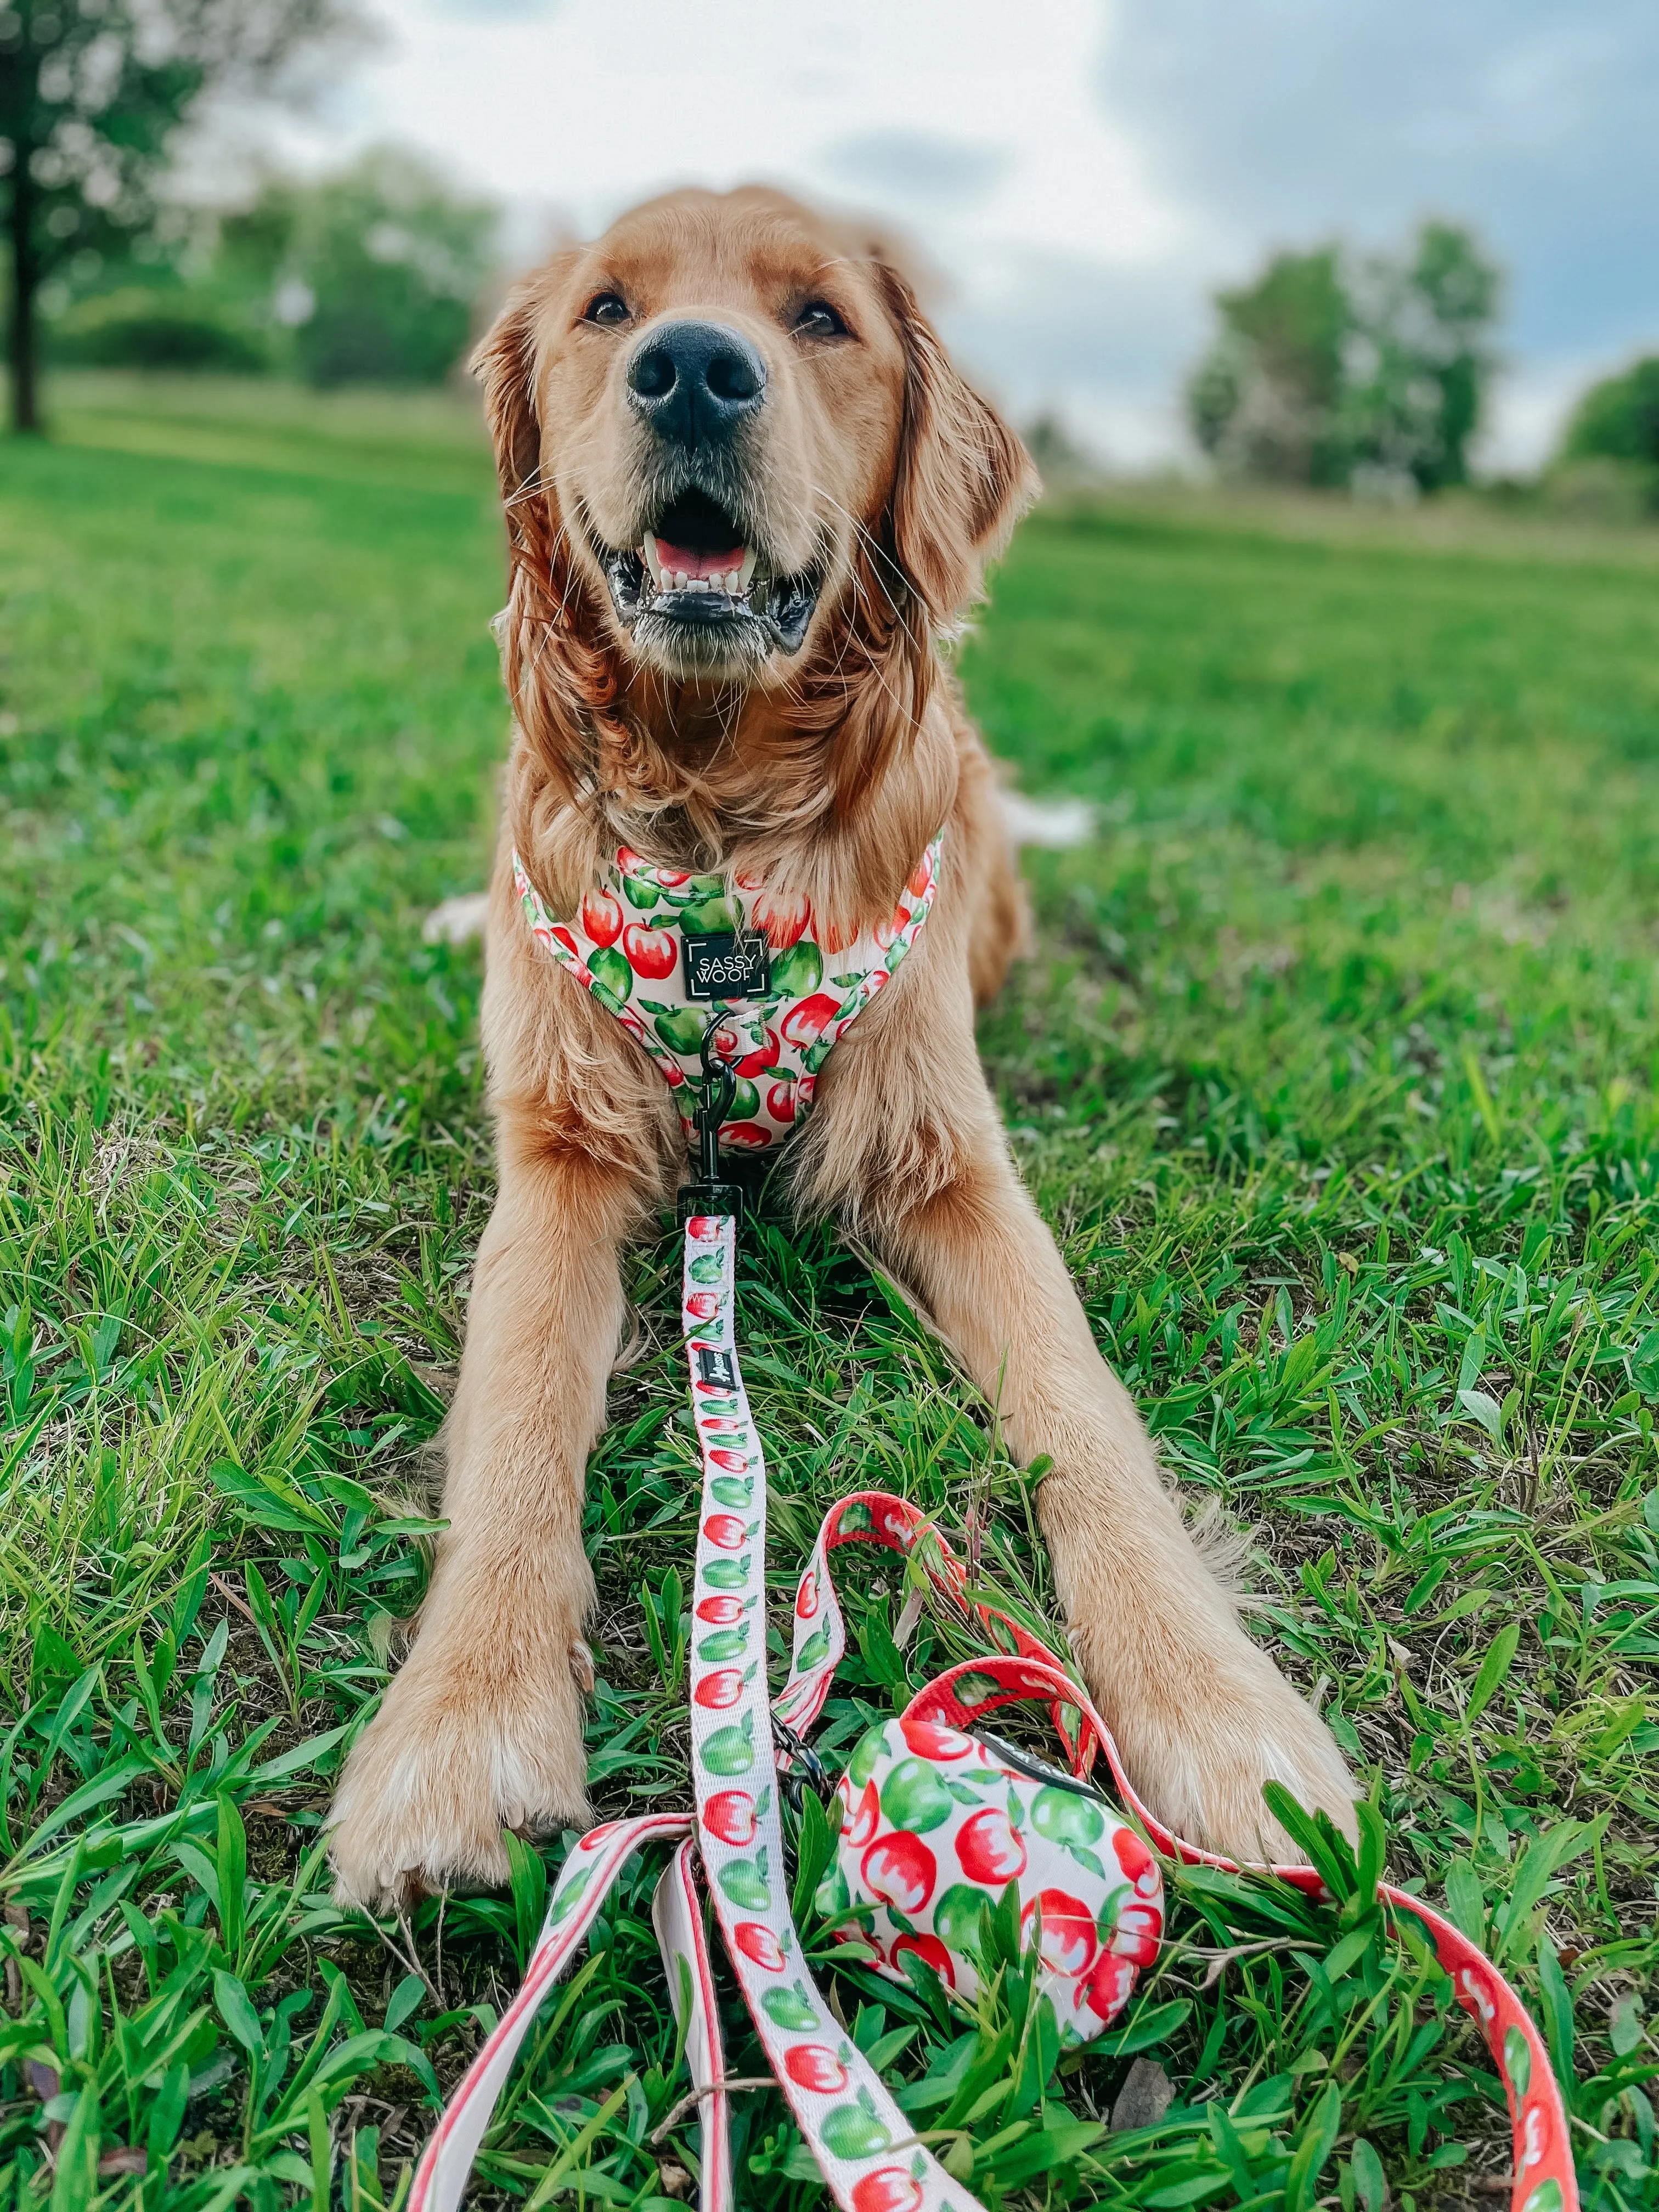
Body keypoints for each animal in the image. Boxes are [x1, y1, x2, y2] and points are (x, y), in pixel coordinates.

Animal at [327, 190, 1362, 1911]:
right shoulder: (561, 1156)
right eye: (608, 309)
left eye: (821, 319)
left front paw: (1219, 1712)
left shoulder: (955, 1168)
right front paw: (460, 1723)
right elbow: (520, 1423)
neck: (722, 827)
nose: (693, 370)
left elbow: (1088, 1418)